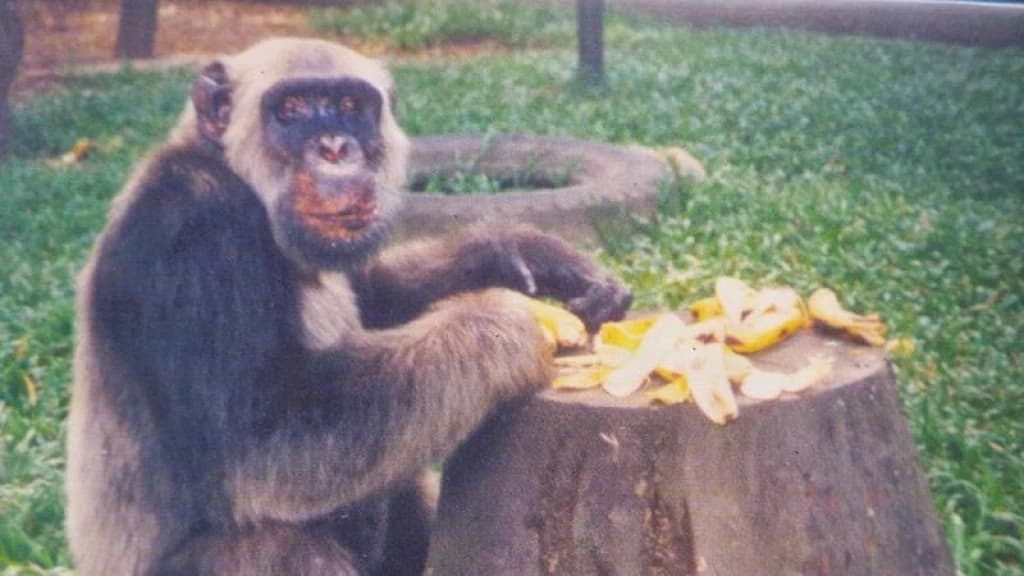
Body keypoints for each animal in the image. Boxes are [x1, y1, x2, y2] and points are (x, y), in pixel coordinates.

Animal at [65, 38, 630, 576]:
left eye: (349, 105)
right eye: (291, 108)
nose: (335, 146)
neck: (241, 182)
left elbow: (375, 301)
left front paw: (524, 251)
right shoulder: (196, 239)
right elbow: (263, 439)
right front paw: (502, 325)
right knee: (277, 549)